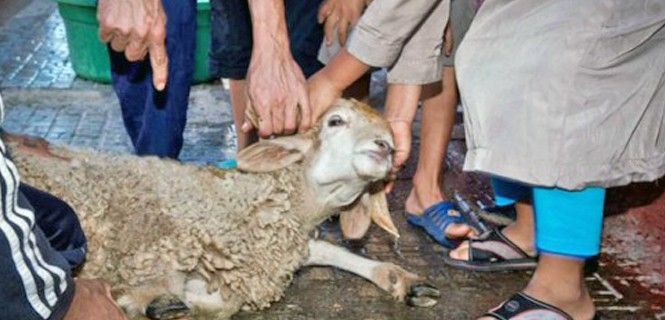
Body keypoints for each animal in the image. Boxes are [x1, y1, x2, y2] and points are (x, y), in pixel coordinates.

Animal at [7, 99, 440, 318]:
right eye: (335, 121)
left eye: (388, 134)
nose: (386, 146)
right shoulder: (161, 246)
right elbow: (203, 296)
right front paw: (154, 301)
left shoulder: (284, 249)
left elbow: (333, 250)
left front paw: (404, 281)